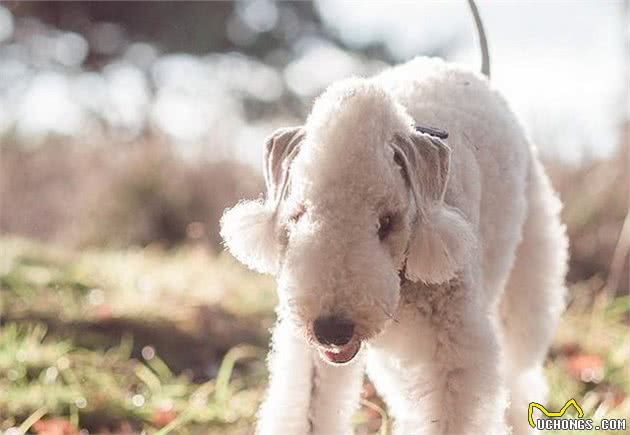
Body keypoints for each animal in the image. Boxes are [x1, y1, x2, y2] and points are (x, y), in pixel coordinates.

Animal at [221, 6, 568, 435]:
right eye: (299, 215)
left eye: (386, 221)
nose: (331, 329)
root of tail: (476, 74)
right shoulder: (311, 354)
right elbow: (308, 405)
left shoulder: (453, 352)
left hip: (526, 278)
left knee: (519, 374)